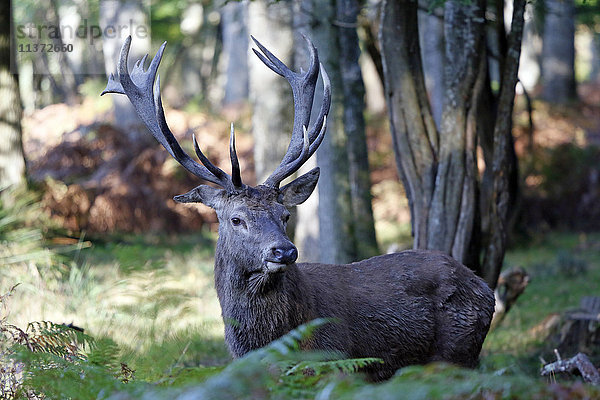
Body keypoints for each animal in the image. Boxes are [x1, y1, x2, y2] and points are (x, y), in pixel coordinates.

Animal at [103, 35, 494, 382]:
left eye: (285, 215)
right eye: (236, 219)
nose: (284, 251)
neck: (268, 343)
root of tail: (486, 288)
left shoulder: (336, 364)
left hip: (457, 352)